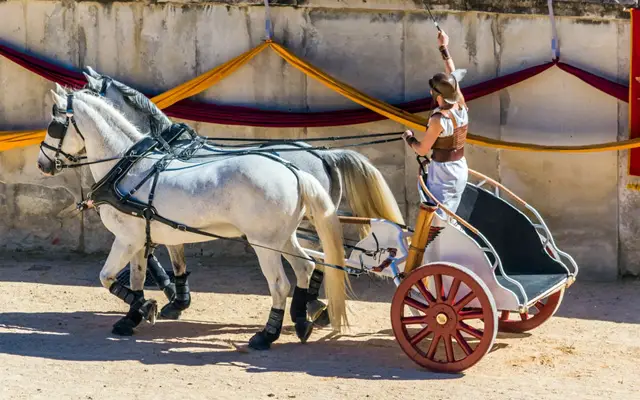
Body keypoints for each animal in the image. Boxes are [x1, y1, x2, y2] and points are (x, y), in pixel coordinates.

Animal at [37, 88, 348, 350]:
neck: (128, 168)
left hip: (264, 243)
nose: (42, 164)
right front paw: (134, 315)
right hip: (284, 237)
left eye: (53, 125)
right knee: (306, 266)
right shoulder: (140, 239)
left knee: (281, 284)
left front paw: (146, 307)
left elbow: (105, 277)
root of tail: (294, 170)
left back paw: (266, 335)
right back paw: (302, 321)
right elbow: (137, 278)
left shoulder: (126, 239)